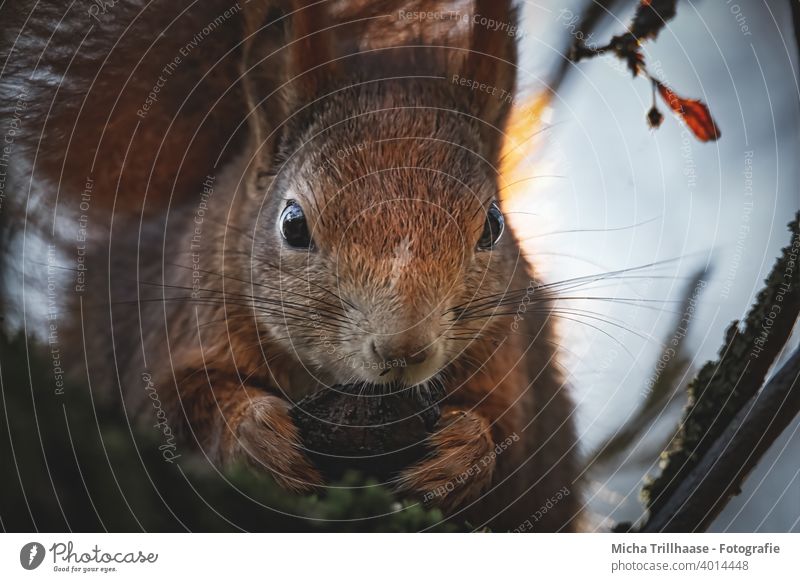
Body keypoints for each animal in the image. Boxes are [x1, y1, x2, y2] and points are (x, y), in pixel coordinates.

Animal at [1, 0, 580, 532]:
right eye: (293, 224)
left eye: (493, 226)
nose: (404, 349)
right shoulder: (186, 321)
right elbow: (171, 404)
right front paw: (255, 436)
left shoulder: (509, 358)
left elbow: (514, 447)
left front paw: (464, 450)